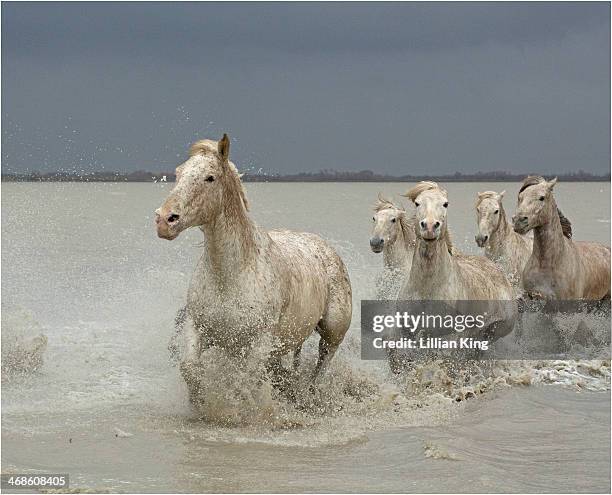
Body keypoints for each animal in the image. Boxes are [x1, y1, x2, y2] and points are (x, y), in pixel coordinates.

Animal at [155, 134, 352, 390]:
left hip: (332, 333)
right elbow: (190, 370)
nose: (165, 220)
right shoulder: (197, 329)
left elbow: (246, 384)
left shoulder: (258, 345)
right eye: (178, 174)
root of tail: (325, 247)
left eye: (210, 177)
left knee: (320, 369)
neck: (230, 275)